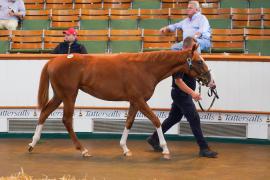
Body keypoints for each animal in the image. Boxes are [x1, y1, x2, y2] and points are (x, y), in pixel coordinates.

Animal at [27, 45, 213, 159]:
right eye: (199, 61)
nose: (210, 80)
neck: (146, 67)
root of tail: (53, 60)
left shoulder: (134, 102)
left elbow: (129, 122)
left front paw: (125, 149)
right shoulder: (139, 100)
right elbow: (156, 120)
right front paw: (165, 149)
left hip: (59, 95)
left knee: (44, 113)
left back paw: (32, 144)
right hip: (69, 95)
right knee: (66, 119)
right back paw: (83, 150)